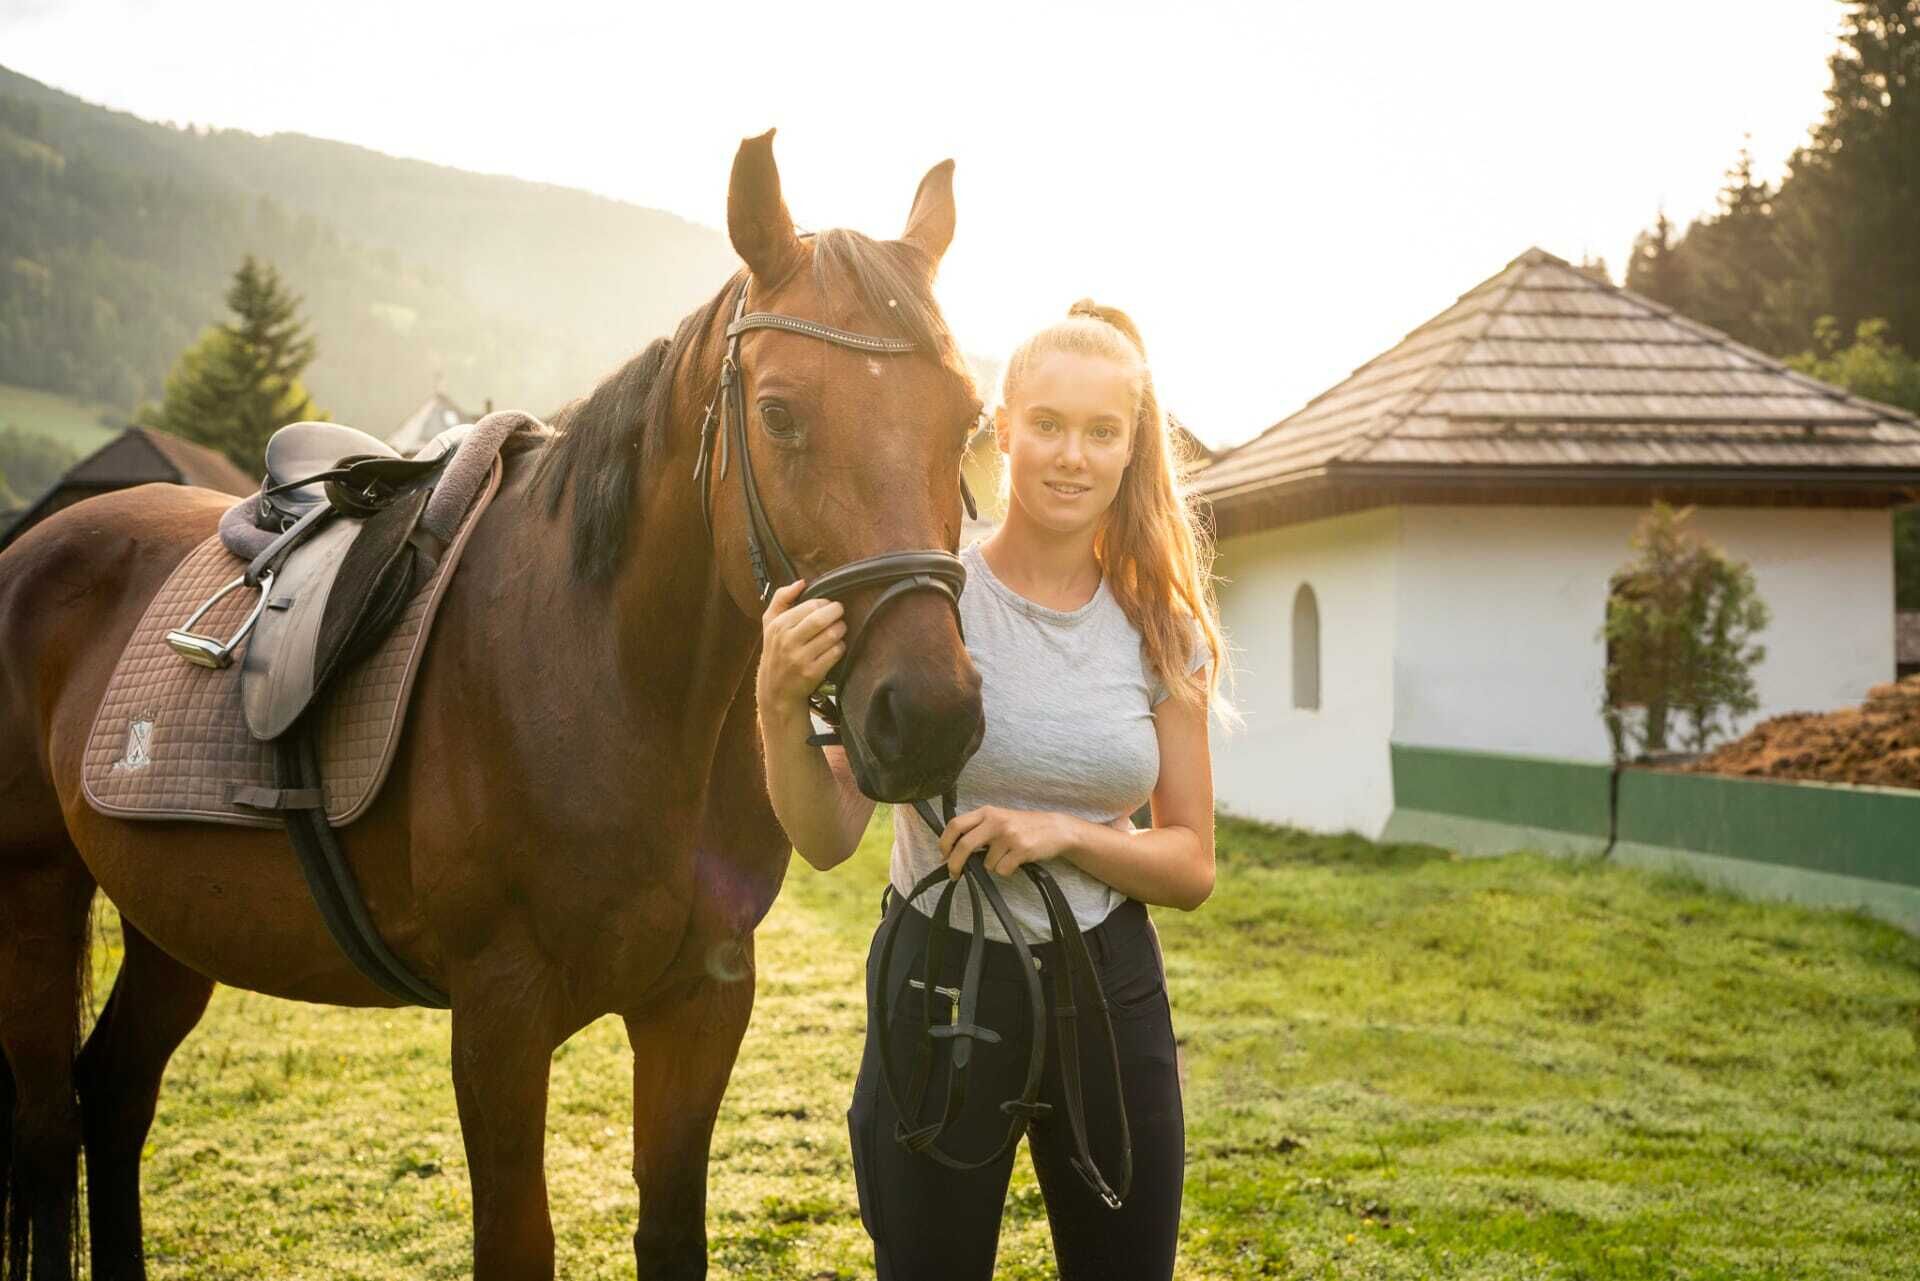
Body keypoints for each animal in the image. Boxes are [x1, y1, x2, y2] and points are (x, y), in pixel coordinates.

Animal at [0, 129, 987, 1281]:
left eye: (969, 419)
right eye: (781, 413)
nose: (930, 716)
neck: (611, 679)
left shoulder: (701, 1001)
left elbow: (672, 1231)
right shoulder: (500, 1020)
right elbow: (517, 1242)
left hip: (174, 923)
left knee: (113, 1098)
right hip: (35, 896)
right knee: (46, 1125)